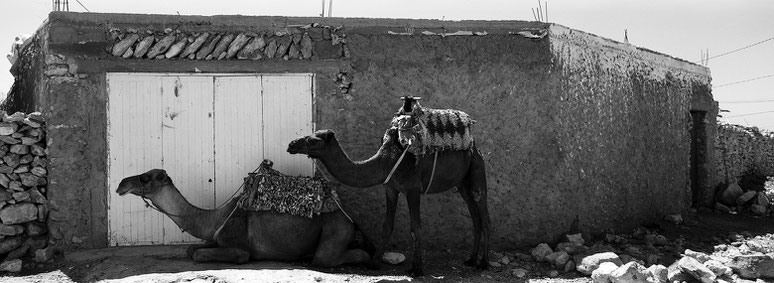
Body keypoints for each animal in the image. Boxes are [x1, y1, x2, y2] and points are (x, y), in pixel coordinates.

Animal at [113, 168, 376, 268]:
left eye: (146, 178)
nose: (121, 183)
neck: (215, 217)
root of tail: (349, 217)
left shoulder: (239, 245)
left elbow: (200, 254)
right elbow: (191, 249)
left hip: (336, 228)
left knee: (328, 257)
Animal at [284, 127, 492, 278]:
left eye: (312, 140)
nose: (291, 144)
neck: (386, 161)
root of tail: (474, 146)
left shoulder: (413, 189)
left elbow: (416, 228)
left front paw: (417, 269)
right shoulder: (391, 188)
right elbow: (386, 226)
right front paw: (374, 263)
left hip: (476, 168)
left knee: (484, 214)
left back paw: (483, 263)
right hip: (462, 183)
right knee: (475, 217)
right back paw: (471, 260)